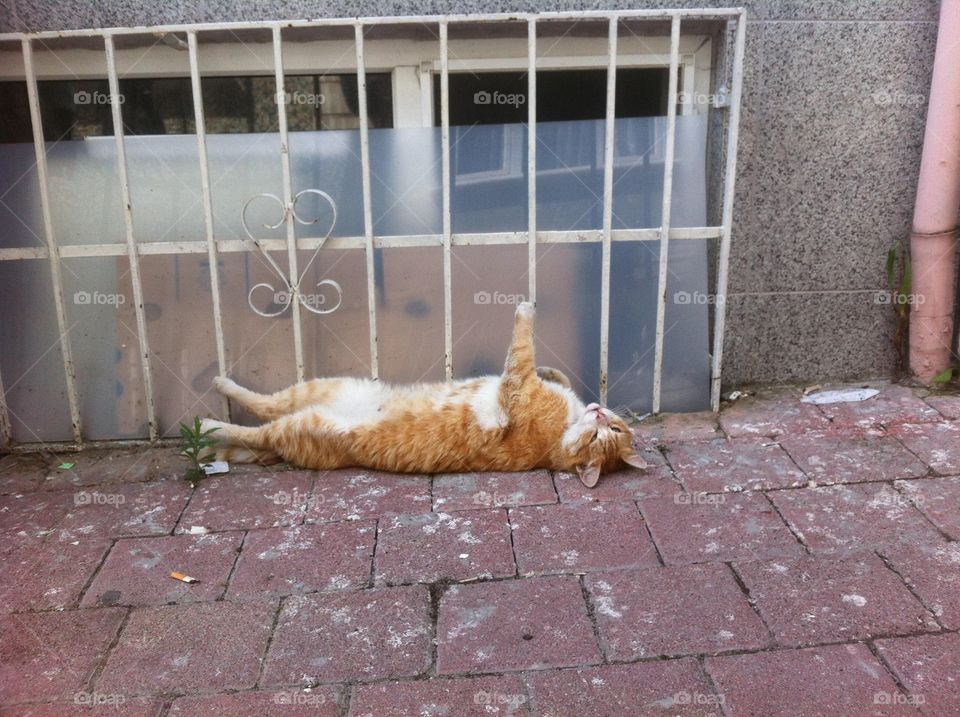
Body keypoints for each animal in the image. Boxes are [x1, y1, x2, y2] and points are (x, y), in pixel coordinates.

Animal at [206, 300, 648, 490]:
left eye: (601, 438)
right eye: (613, 429)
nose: (600, 415)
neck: (561, 436)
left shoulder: (517, 386)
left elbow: (522, 346)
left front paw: (525, 310)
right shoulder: (530, 384)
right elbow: (551, 369)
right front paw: (554, 371)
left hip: (302, 423)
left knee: (254, 427)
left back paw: (211, 417)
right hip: (320, 387)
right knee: (264, 406)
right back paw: (222, 386)